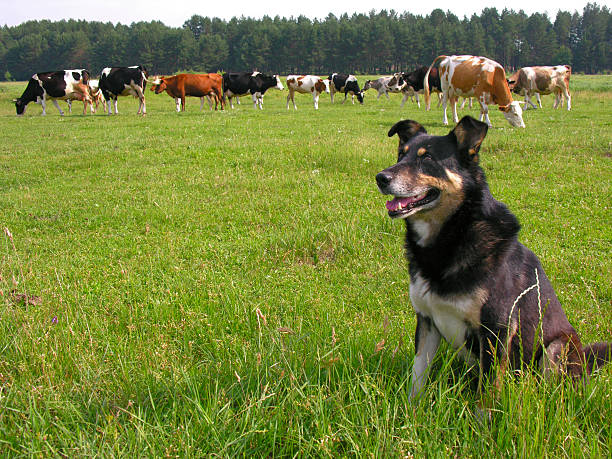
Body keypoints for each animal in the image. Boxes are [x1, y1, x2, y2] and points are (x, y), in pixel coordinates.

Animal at [376, 117, 608, 400]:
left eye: (427, 157)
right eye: (401, 154)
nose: (380, 178)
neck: (453, 235)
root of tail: (585, 360)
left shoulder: (496, 329)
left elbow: (487, 392)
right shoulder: (427, 319)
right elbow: (417, 376)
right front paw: (413, 408)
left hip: (557, 348)